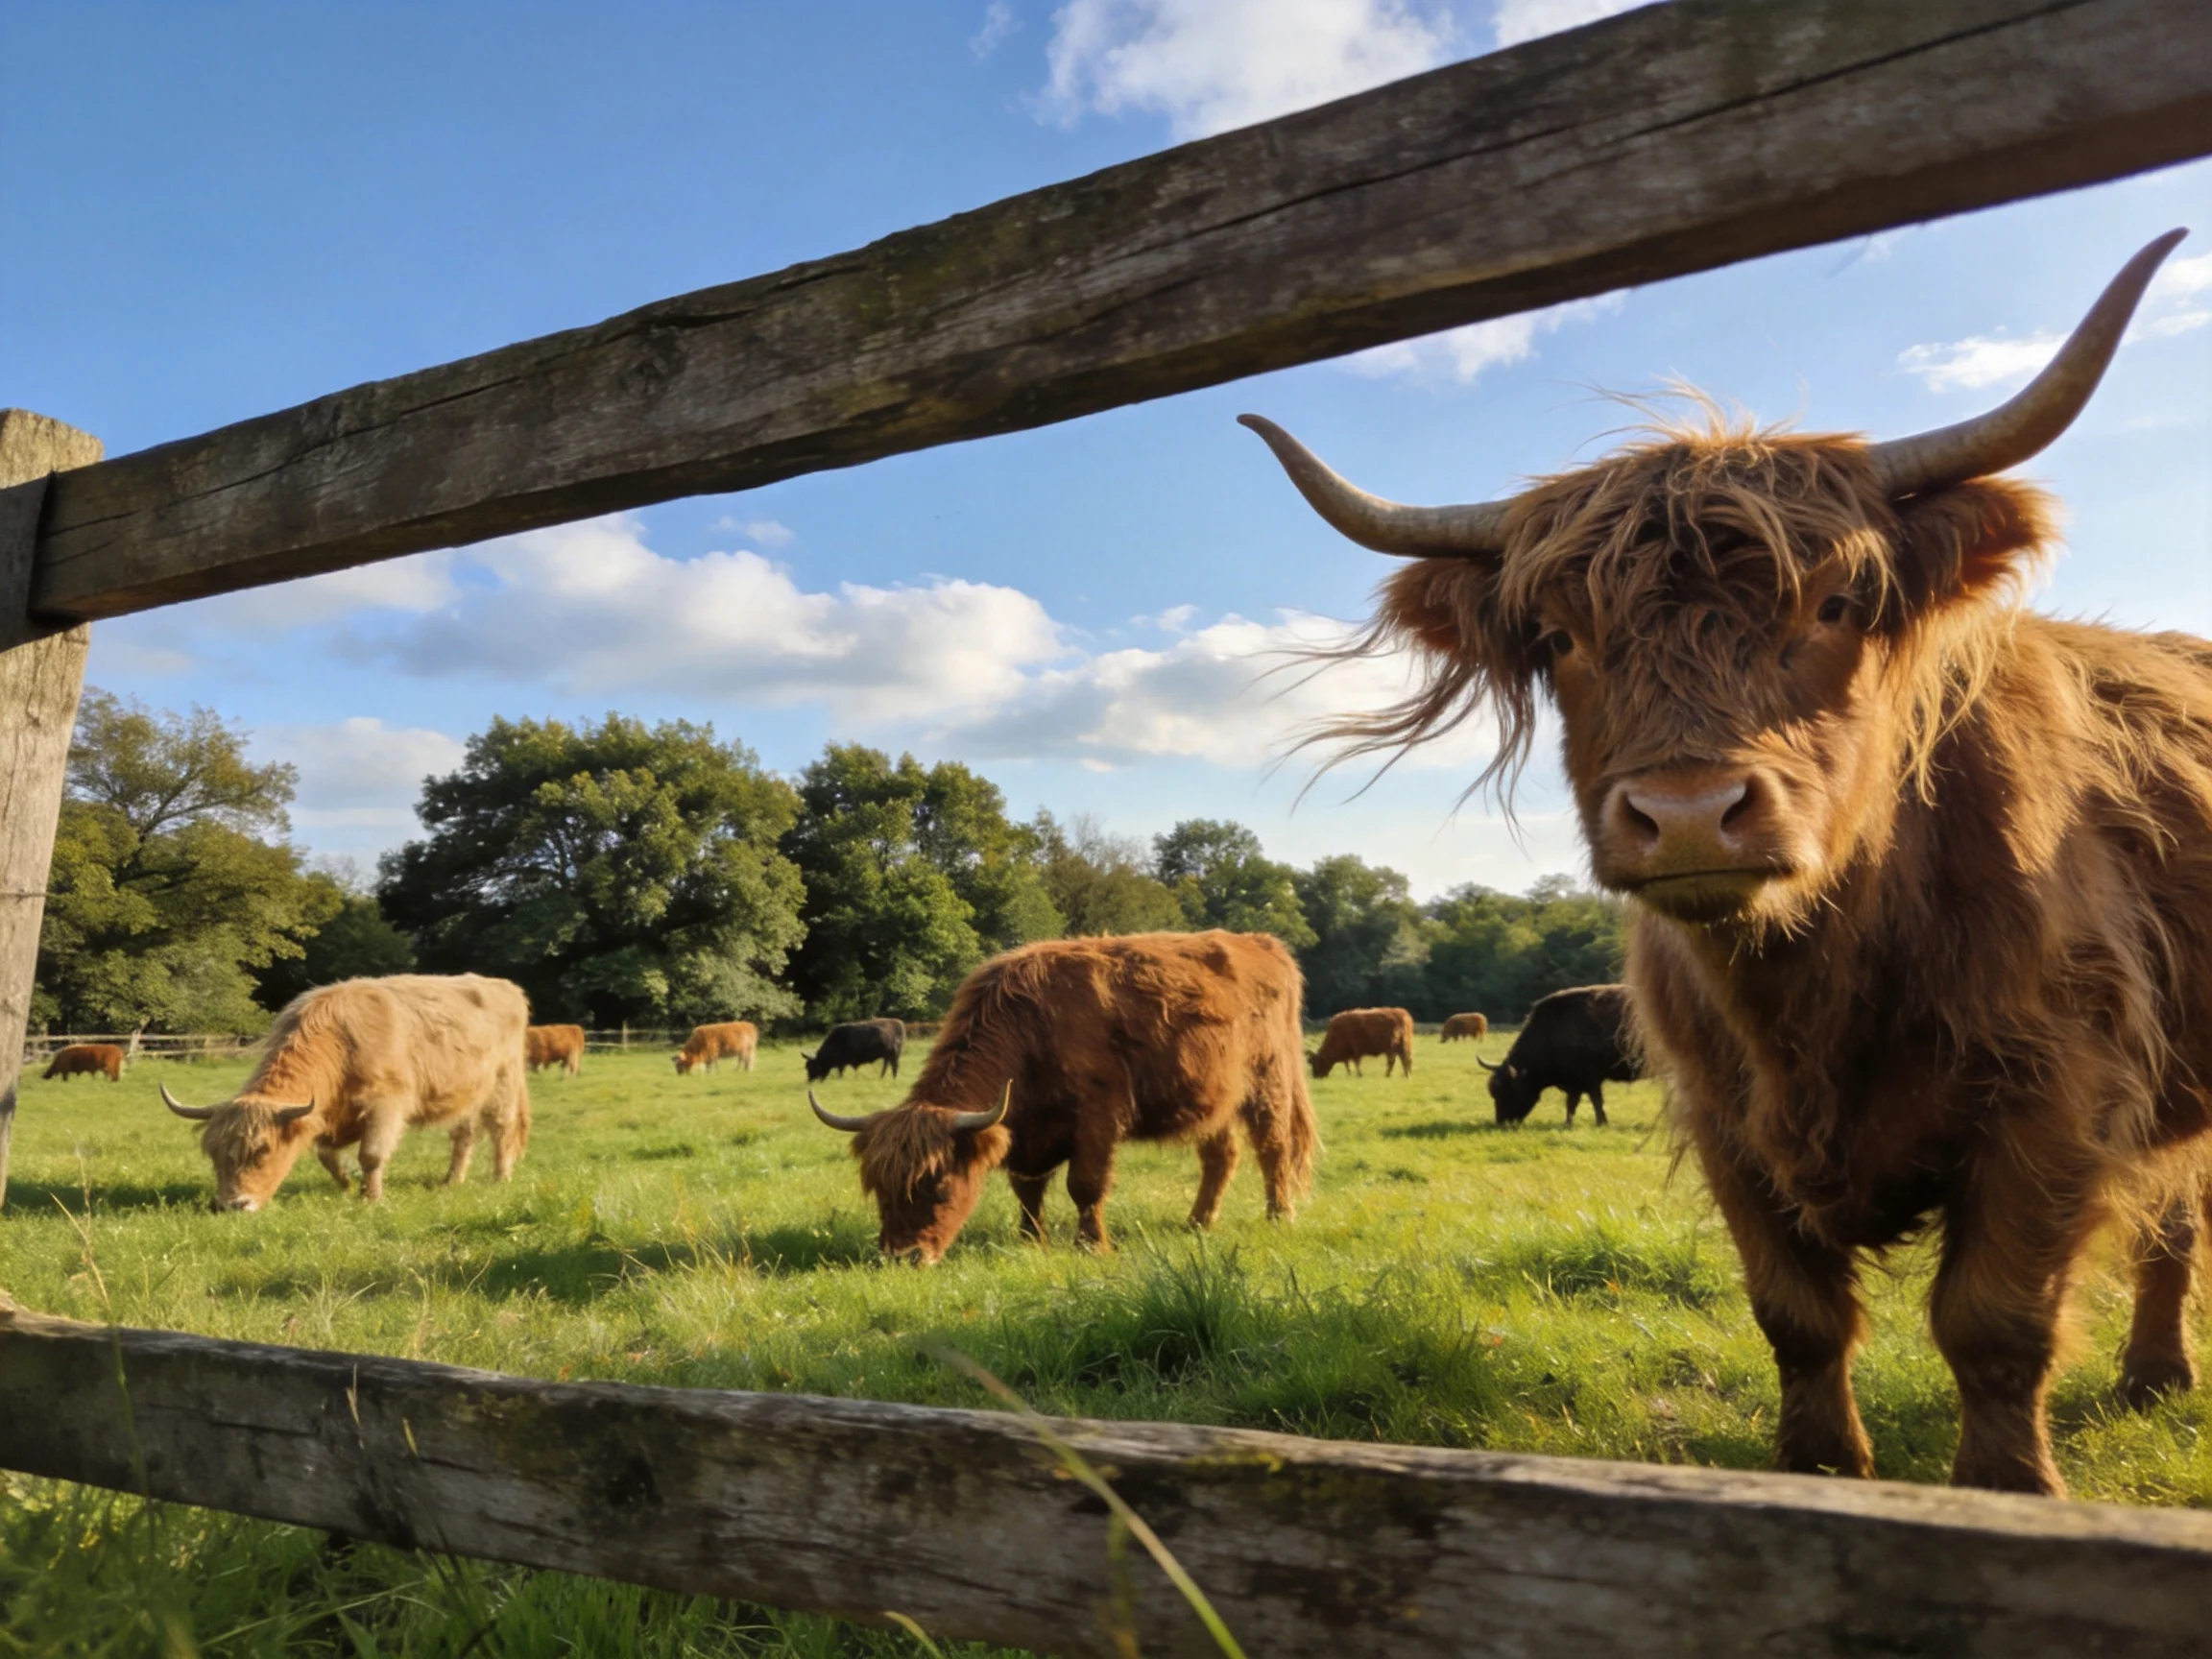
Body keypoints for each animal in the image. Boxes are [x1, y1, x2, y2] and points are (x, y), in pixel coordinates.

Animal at [160, 973, 531, 1211]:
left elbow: (372, 1154)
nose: (230, 1205)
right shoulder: (329, 1116)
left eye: (263, 1151)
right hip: (467, 1093)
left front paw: (372, 1198)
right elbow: (326, 1155)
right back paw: (452, 1181)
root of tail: (505, 985)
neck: (341, 1042)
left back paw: (501, 1178)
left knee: (501, 1130)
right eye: (214, 1153)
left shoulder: (386, 1104)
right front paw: (349, 1186)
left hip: (503, 1084)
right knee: (464, 1136)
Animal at [809, 930, 1317, 1263]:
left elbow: (1084, 1184)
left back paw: (1281, 1216)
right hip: (1214, 1099)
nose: (902, 1257)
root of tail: (1264, 943)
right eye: (880, 1189)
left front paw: (1091, 1245)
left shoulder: (1098, 1115)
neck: (1031, 1027)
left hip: (1269, 1082)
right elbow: (1026, 1187)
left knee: (1273, 1149)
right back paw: (1198, 1222)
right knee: (1221, 1156)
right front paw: (1031, 1240)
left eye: (939, 1186)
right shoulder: (1026, 1129)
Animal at [1478, 986, 1639, 1127]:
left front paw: (1600, 1123)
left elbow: (1595, 1101)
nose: (1501, 1122)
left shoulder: (1590, 1080)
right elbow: (1573, 1104)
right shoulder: (1576, 1084)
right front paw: (1568, 1123)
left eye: (1507, 1090)